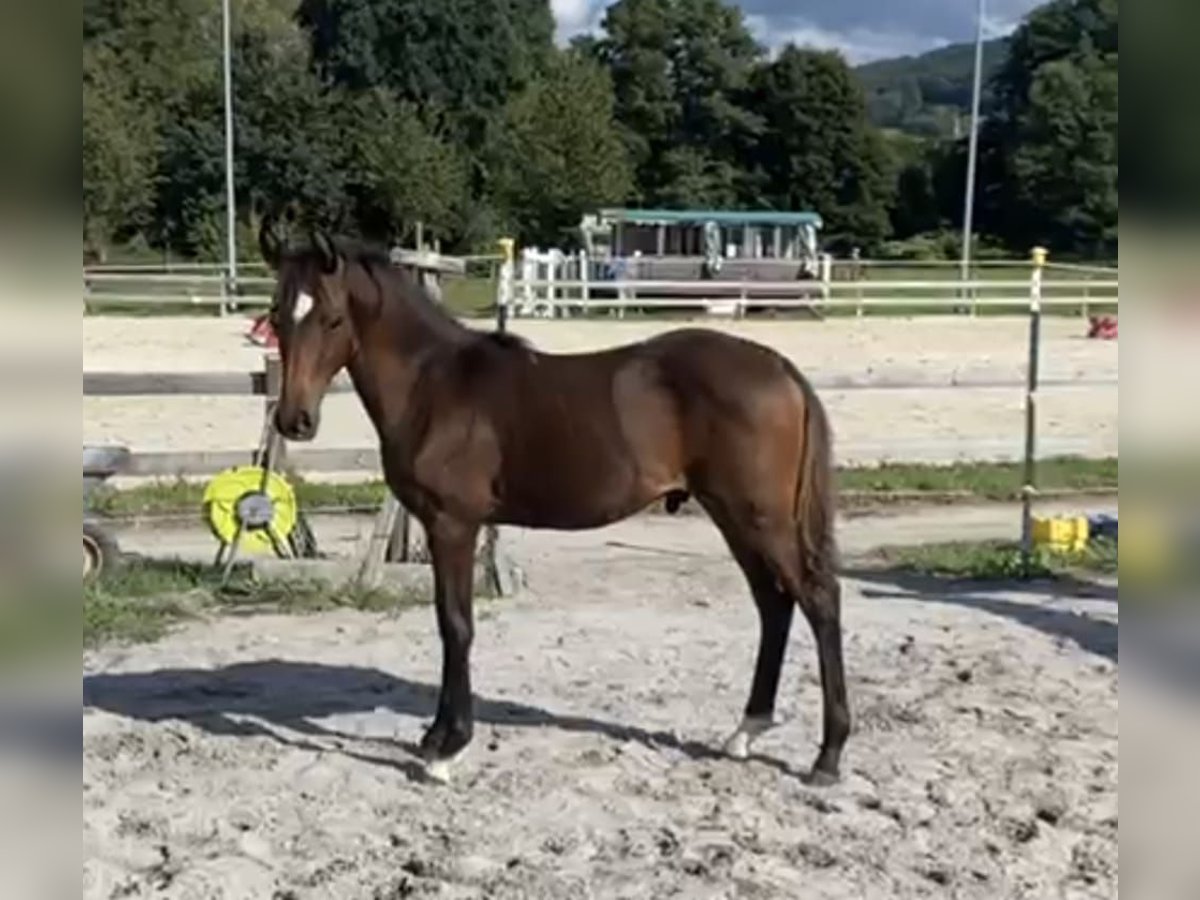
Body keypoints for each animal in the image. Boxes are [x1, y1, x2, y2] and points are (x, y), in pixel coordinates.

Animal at [258, 225, 850, 785]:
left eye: (333, 318)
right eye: (277, 315)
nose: (294, 421)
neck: (434, 385)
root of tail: (781, 368)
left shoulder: (454, 525)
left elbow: (456, 625)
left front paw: (448, 750)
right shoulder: (439, 526)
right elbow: (448, 622)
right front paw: (434, 738)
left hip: (760, 516)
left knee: (817, 600)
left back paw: (828, 755)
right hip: (734, 516)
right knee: (773, 604)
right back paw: (746, 731)